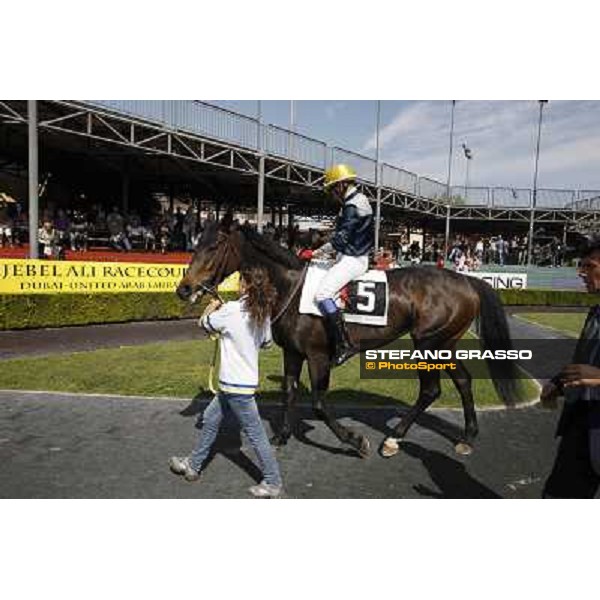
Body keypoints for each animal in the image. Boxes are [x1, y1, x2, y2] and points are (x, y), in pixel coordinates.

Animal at [177, 217, 524, 460]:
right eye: (197, 243)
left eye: (213, 247)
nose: (183, 289)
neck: (291, 288)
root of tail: (466, 280)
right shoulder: (293, 353)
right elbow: (289, 393)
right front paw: (281, 436)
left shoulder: (318, 356)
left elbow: (318, 403)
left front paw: (355, 440)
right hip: (444, 344)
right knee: (463, 381)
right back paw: (467, 437)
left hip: (428, 343)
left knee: (431, 390)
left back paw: (394, 438)